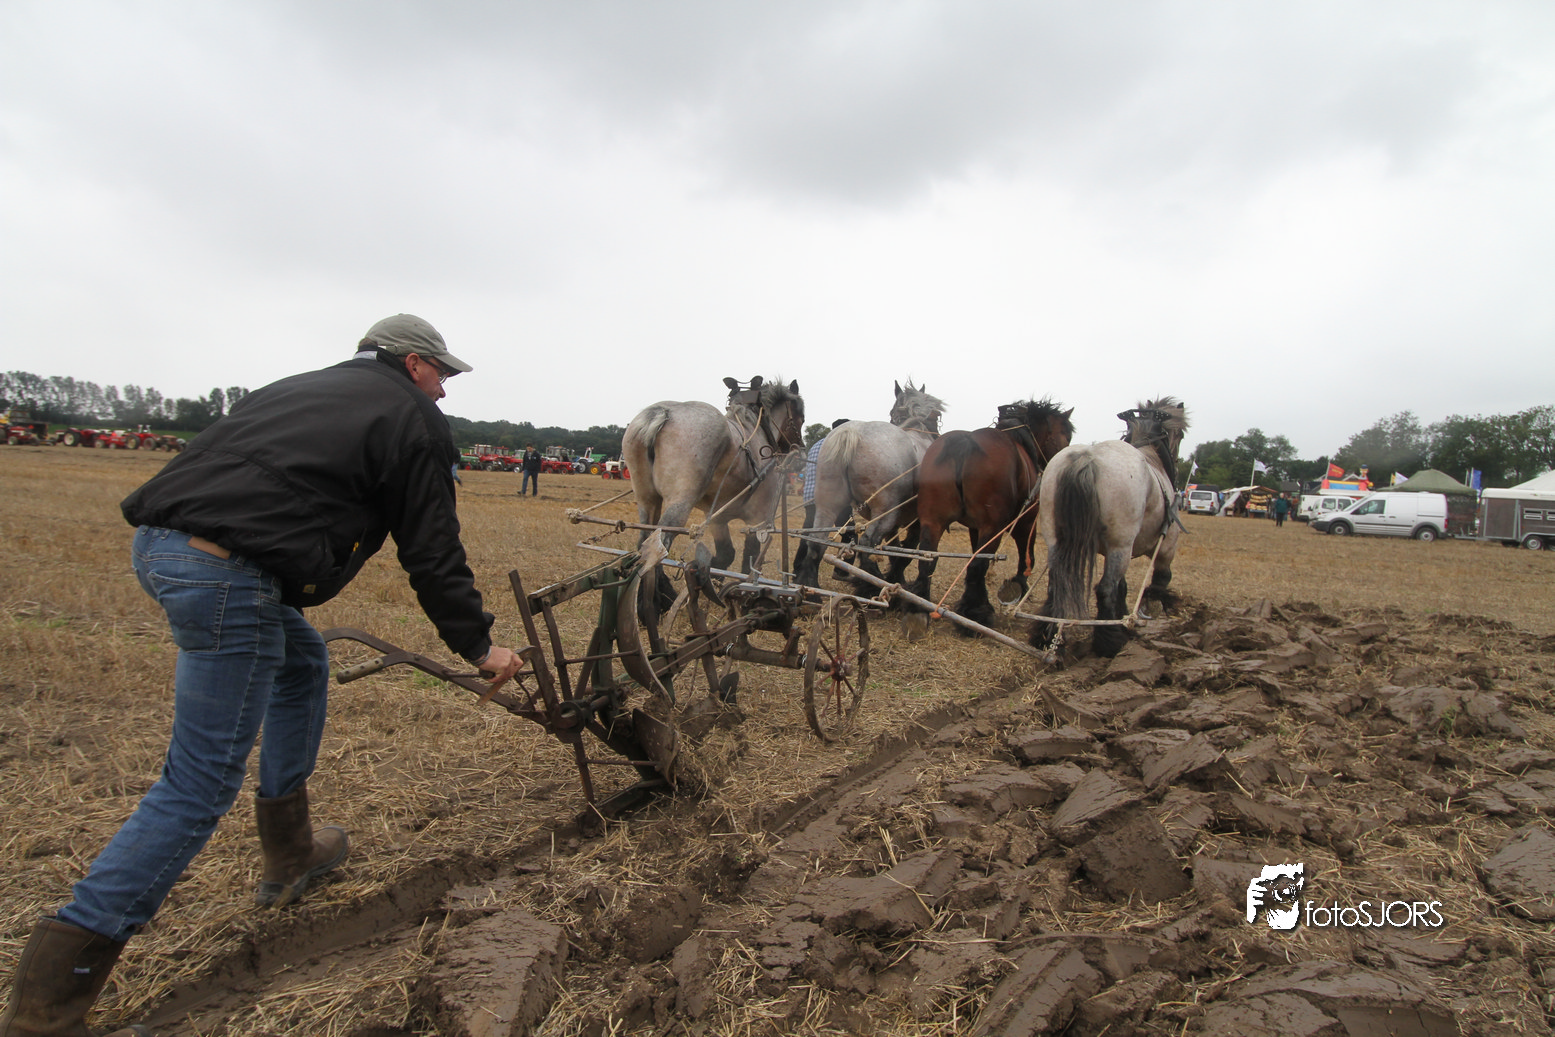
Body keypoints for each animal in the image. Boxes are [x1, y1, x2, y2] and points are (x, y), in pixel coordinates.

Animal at [622, 375, 805, 580]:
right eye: (801, 418)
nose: (801, 452)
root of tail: (663, 413)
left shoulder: (717, 517)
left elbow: (726, 554)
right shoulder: (758, 519)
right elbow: (749, 560)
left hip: (647, 498)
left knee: (645, 540)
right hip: (680, 500)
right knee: (660, 544)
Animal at [793, 380, 946, 593]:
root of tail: (852, 432)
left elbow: (896, 552)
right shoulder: (917, 521)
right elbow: (907, 553)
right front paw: (898, 580)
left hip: (829, 504)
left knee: (817, 543)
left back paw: (812, 590)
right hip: (885, 511)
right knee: (867, 544)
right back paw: (873, 583)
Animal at [906, 398, 1075, 629]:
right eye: (1066, 436)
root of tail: (962, 445)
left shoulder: (974, 527)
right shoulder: (1025, 522)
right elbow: (1026, 557)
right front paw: (1020, 585)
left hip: (933, 521)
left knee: (928, 559)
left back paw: (919, 604)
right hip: (993, 527)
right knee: (978, 564)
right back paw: (977, 612)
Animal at [1028, 397, 1190, 658]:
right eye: (1182, 435)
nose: (1176, 465)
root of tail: (1088, 457)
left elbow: (1123, 587)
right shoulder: (1165, 547)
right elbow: (1160, 579)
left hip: (1056, 540)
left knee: (1056, 585)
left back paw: (1048, 637)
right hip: (1120, 546)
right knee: (1105, 589)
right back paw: (1109, 642)